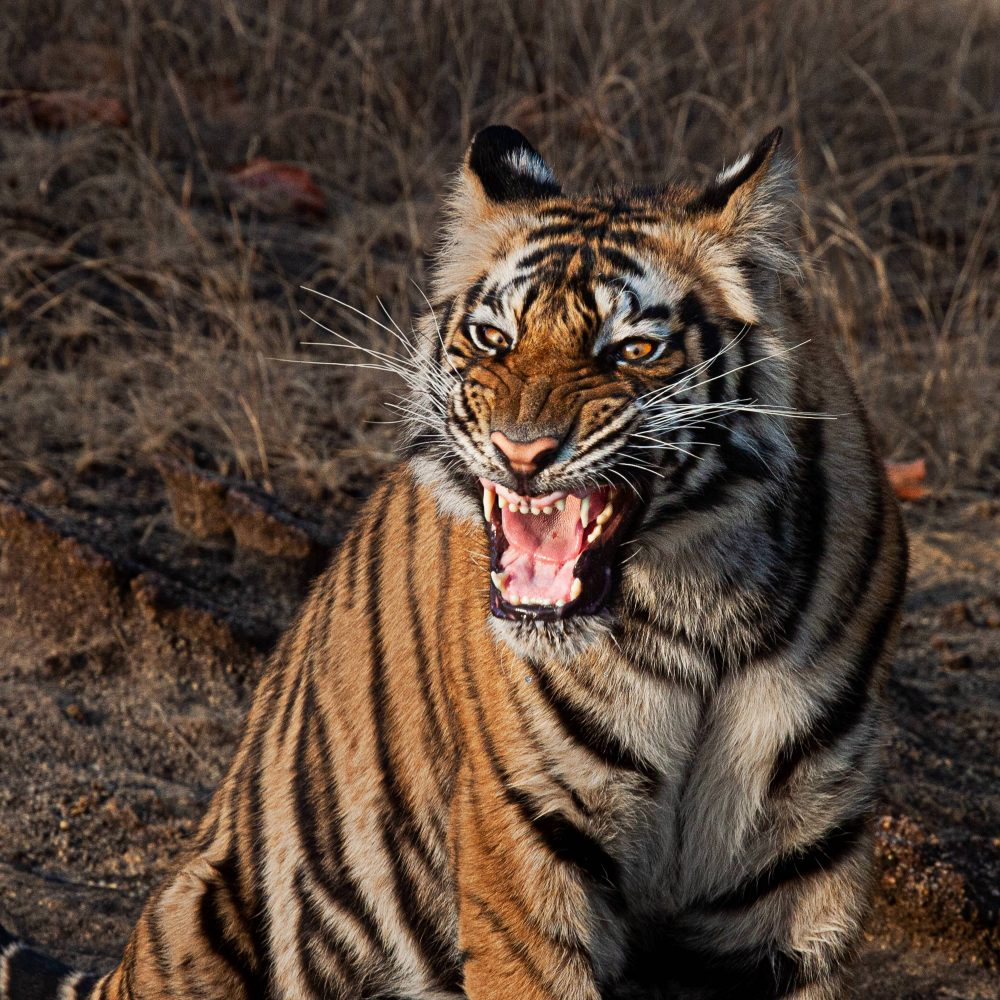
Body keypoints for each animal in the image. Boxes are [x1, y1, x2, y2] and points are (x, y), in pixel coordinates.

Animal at [0, 124, 907, 1000]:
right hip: (202, 903)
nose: (522, 450)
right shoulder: (527, 848)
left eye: (633, 351)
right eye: (493, 338)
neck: (701, 611)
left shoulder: (799, 879)